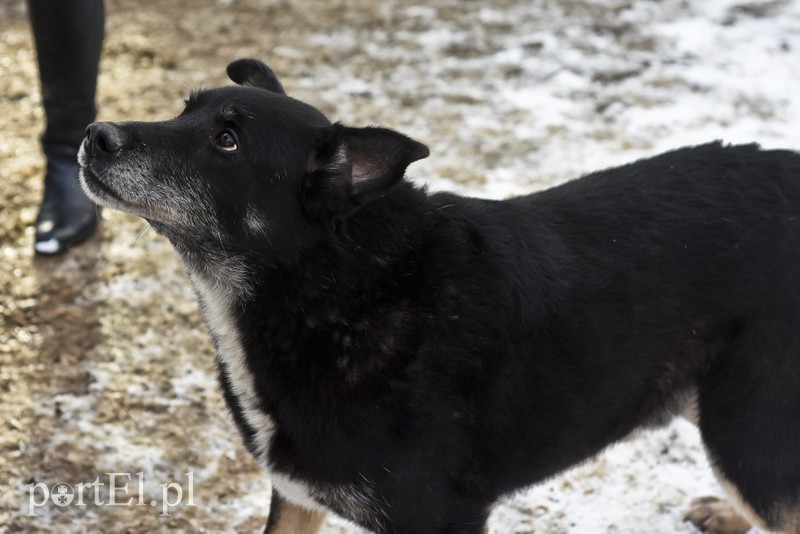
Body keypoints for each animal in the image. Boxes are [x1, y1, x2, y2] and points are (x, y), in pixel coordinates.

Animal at [79, 59, 800, 534]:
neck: (337, 294)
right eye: (184, 110)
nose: (95, 134)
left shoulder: (439, 519)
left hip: (749, 430)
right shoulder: (298, 496)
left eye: (226, 140)